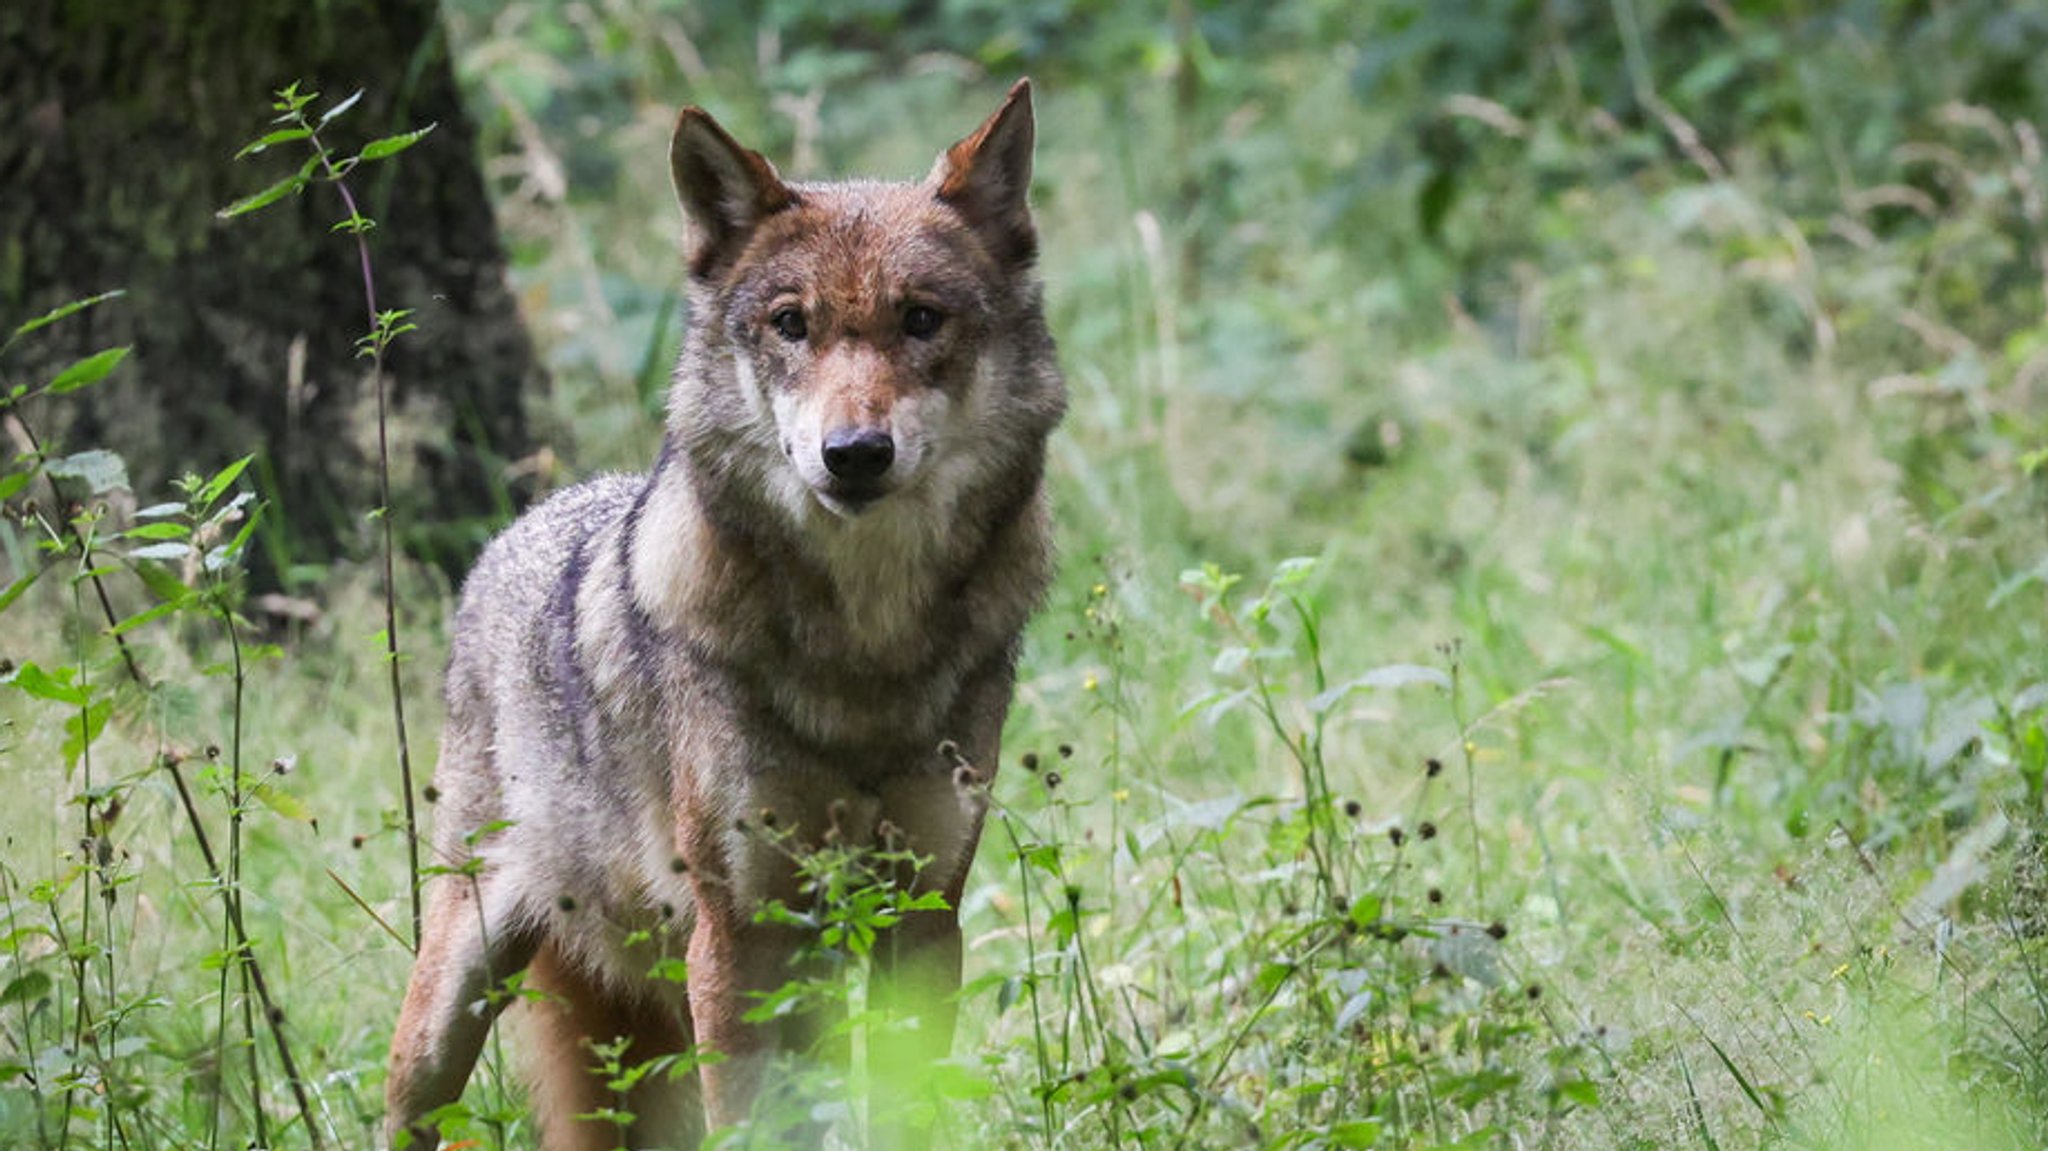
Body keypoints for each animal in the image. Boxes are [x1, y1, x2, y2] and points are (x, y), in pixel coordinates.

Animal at [380, 76, 1073, 1138]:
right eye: (791, 324)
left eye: (922, 319)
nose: (854, 454)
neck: (864, 651)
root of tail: (516, 529)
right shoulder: (739, 934)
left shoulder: (921, 916)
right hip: (457, 999)